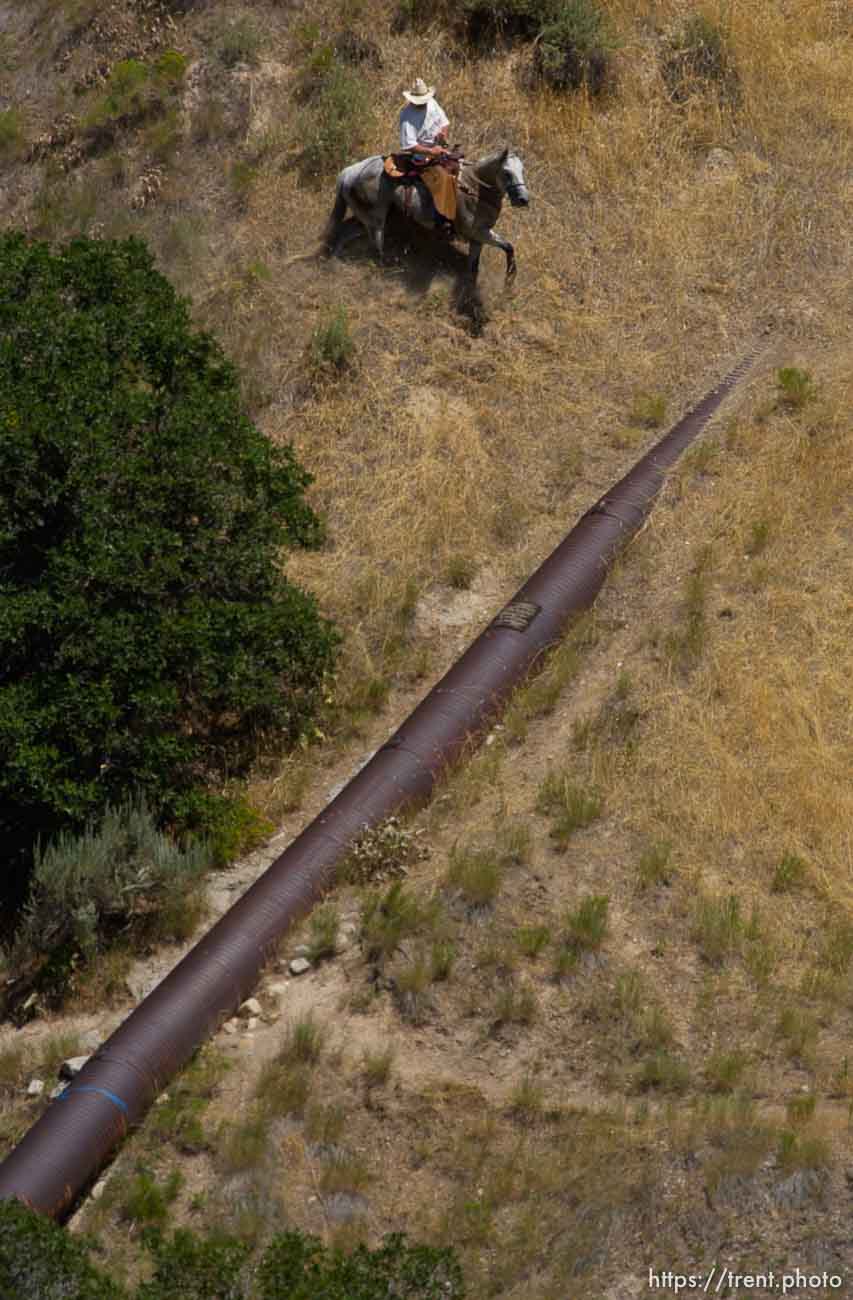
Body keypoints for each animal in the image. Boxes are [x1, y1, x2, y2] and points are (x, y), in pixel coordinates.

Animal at [325, 146, 530, 280]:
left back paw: (334, 261)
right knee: (376, 246)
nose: (523, 199)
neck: (475, 189)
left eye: (522, 170)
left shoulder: (478, 238)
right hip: (377, 220)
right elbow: (508, 246)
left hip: (365, 217)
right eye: (506, 173)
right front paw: (510, 278)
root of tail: (348, 172)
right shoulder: (478, 232)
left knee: (345, 232)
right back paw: (387, 268)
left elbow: (475, 265)